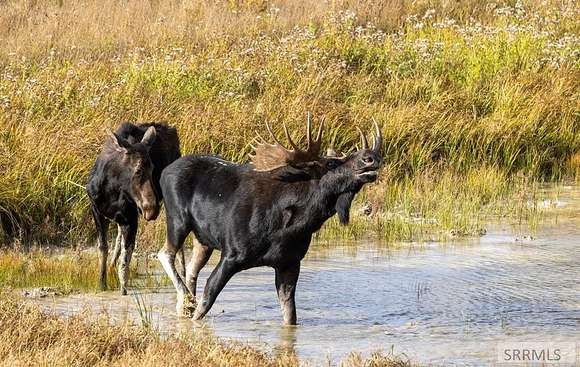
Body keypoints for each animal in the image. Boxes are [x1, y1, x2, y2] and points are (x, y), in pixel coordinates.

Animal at [85, 123, 180, 296]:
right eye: (138, 170)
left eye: (153, 168)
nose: (151, 209)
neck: (111, 190)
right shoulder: (97, 211)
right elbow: (103, 248)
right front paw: (102, 282)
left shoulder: (131, 217)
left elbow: (126, 256)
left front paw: (123, 287)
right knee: (117, 237)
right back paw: (111, 266)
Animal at [160, 118, 386, 324]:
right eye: (332, 162)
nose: (371, 156)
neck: (293, 226)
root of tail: (164, 170)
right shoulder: (231, 256)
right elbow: (207, 300)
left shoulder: (289, 263)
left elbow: (290, 315)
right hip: (177, 219)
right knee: (165, 254)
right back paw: (185, 300)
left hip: (204, 239)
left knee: (191, 268)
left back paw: (183, 305)